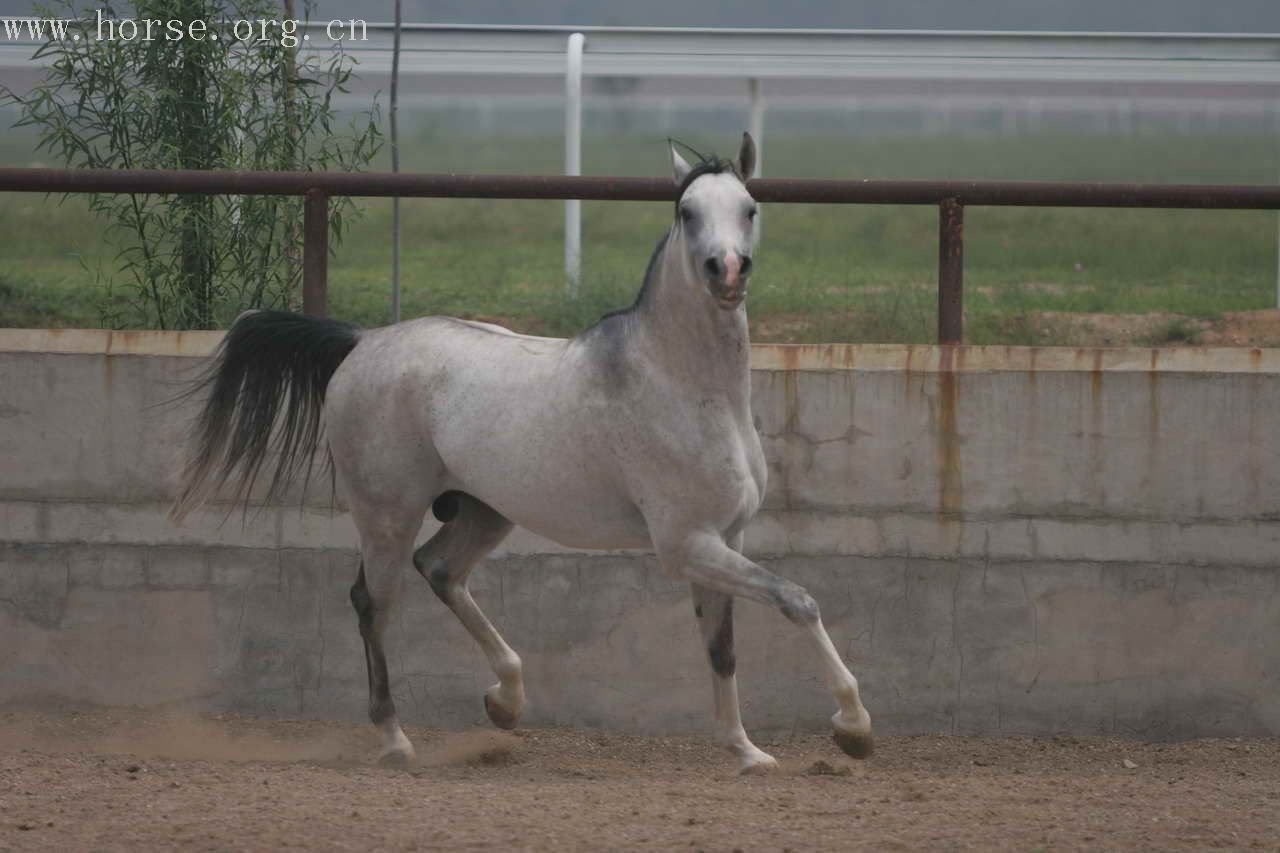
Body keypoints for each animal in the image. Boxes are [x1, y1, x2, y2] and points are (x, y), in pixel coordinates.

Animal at [172, 134, 870, 768]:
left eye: (749, 207)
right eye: (687, 211)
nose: (725, 271)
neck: (684, 384)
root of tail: (362, 342)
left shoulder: (725, 538)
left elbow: (721, 648)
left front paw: (747, 752)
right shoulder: (685, 545)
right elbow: (797, 599)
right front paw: (852, 727)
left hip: (484, 510)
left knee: (440, 570)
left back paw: (504, 701)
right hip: (387, 513)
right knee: (373, 603)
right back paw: (396, 741)